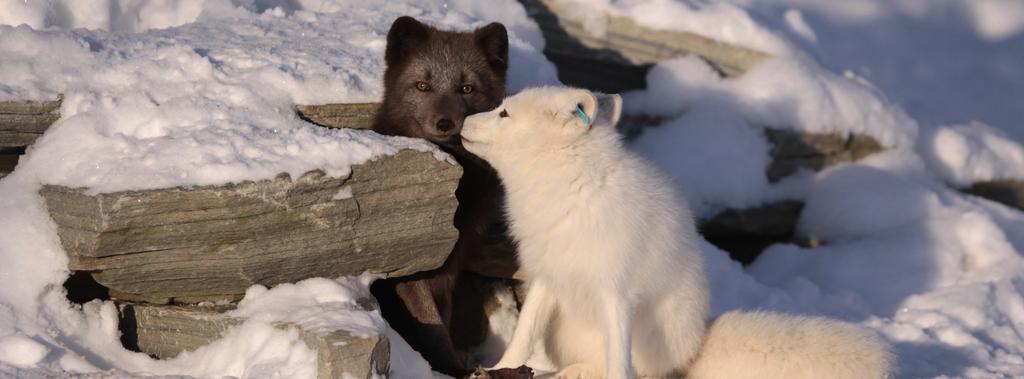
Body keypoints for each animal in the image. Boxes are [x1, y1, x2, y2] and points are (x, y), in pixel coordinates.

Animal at [368, 15, 512, 376]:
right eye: (422, 86)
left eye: (467, 88)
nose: (445, 123)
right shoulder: (411, 268)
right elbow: (430, 325)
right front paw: (452, 369)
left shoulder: (449, 268)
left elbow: (442, 320)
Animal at [460, 86, 892, 379]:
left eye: (504, 113)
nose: (462, 120)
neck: (572, 189)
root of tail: (696, 345)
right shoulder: (547, 277)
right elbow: (522, 336)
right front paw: (499, 368)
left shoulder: (617, 293)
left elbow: (619, 363)